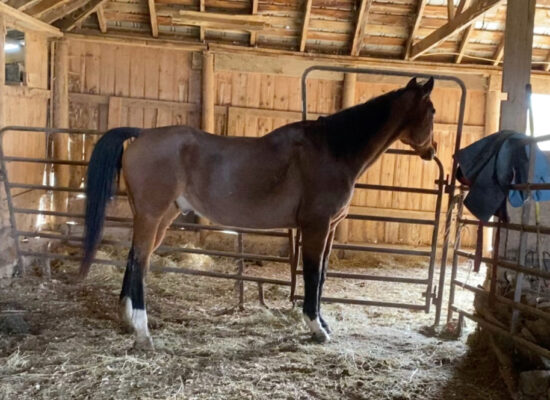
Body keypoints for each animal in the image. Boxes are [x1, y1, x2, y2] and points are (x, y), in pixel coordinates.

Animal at [80, 76, 438, 350]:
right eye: (433, 111)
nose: (432, 150)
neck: (333, 150)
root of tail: (142, 133)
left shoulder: (331, 229)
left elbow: (322, 276)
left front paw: (324, 323)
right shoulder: (316, 226)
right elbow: (311, 275)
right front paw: (315, 327)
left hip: (160, 217)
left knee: (134, 259)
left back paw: (127, 320)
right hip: (152, 216)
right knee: (140, 262)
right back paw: (143, 332)